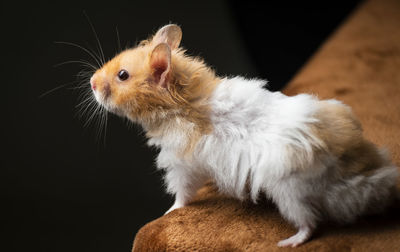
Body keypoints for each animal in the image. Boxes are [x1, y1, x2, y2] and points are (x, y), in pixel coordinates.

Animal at [89, 24, 398, 246]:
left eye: (123, 75)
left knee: (310, 224)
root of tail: (356, 166)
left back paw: (288, 242)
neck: (184, 102)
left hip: (290, 192)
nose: (91, 82)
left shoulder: (182, 165)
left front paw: (168, 212)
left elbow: (182, 195)